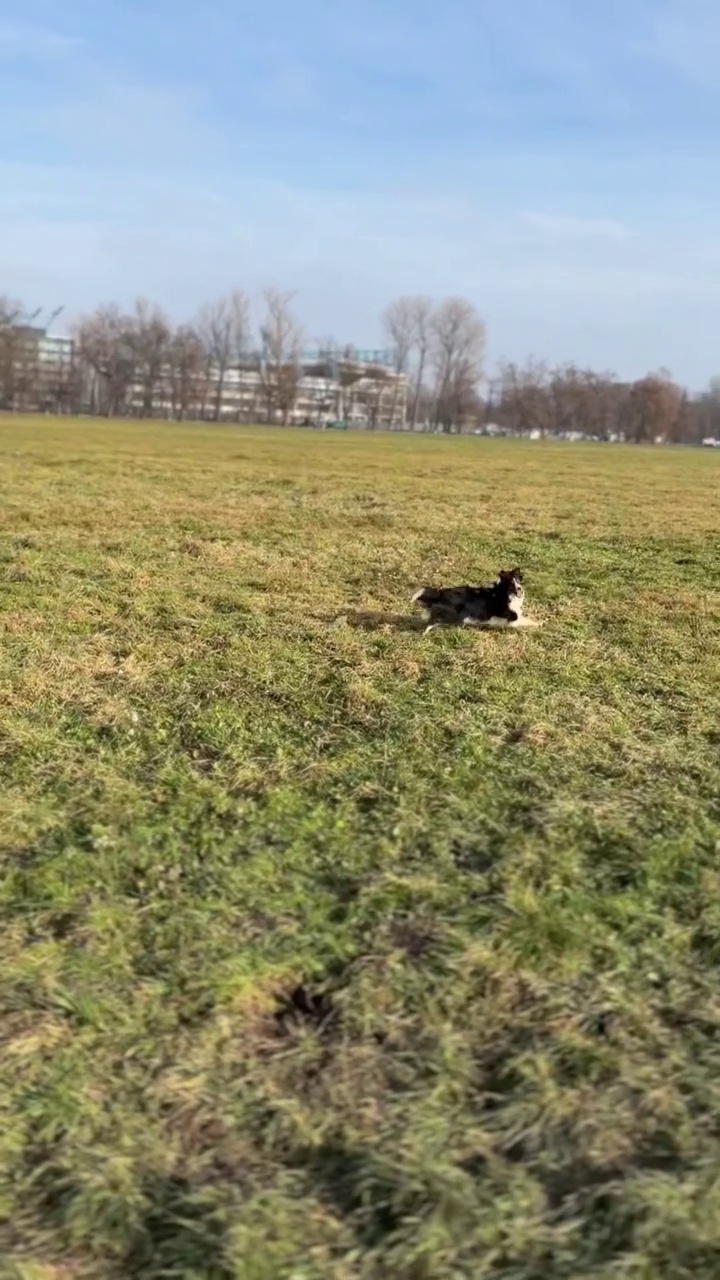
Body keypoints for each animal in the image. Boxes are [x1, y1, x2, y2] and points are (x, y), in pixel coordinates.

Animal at [409, 568, 538, 632]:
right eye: (511, 583)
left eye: (518, 580)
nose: (520, 589)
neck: (504, 592)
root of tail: (441, 593)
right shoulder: (513, 617)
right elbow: (528, 621)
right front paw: (539, 624)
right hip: (454, 616)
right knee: (433, 622)